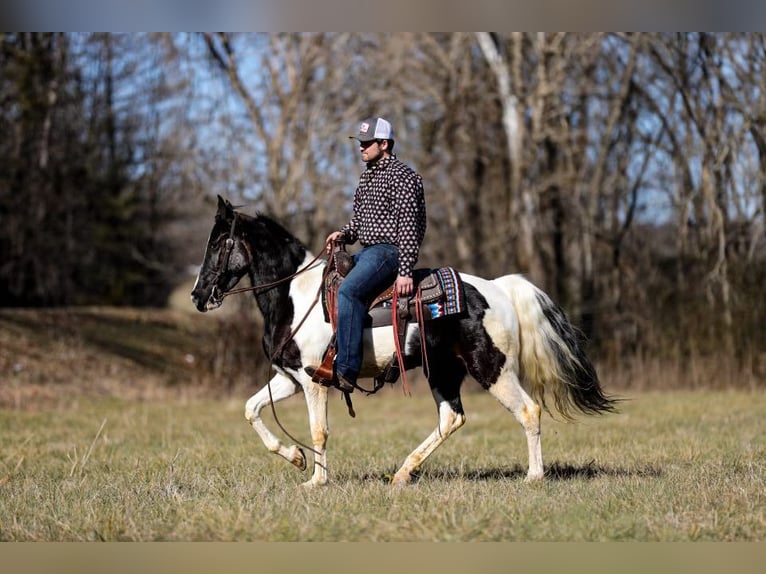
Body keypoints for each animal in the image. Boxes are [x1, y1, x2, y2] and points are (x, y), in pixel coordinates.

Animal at [192, 196, 616, 488]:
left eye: (218, 243)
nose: (198, 296)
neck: (295, 296)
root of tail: (499, 288)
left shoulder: (314, 382)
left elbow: (319, 430)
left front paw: (316, 480)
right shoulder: (290, 378)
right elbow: (251, 409)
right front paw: (295, 457)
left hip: (492, 368)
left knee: (528, 411)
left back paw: (534, 476)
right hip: (443, 370)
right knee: (451, 418)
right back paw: (402, 473)